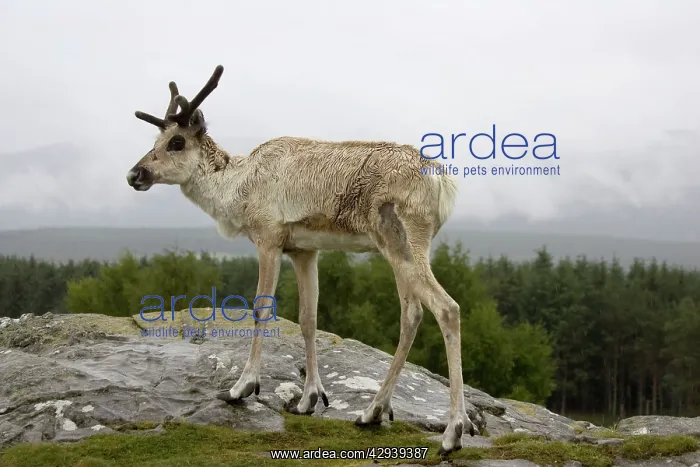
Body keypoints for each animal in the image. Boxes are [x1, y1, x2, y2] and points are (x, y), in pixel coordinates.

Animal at [126, 65, 477, 455]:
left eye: (176, 142)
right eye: (155, 141)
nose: (134, 174)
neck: (237, 187)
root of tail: (443, 182)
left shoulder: (268, 237)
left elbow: (262, 308)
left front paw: (242, 387)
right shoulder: (304, 250)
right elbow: (309, 318)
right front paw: (309, 398)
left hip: (402, 240)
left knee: (446, 308)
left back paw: (452, 431)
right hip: (400, 248)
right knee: (412, 314)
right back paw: (372, 412)